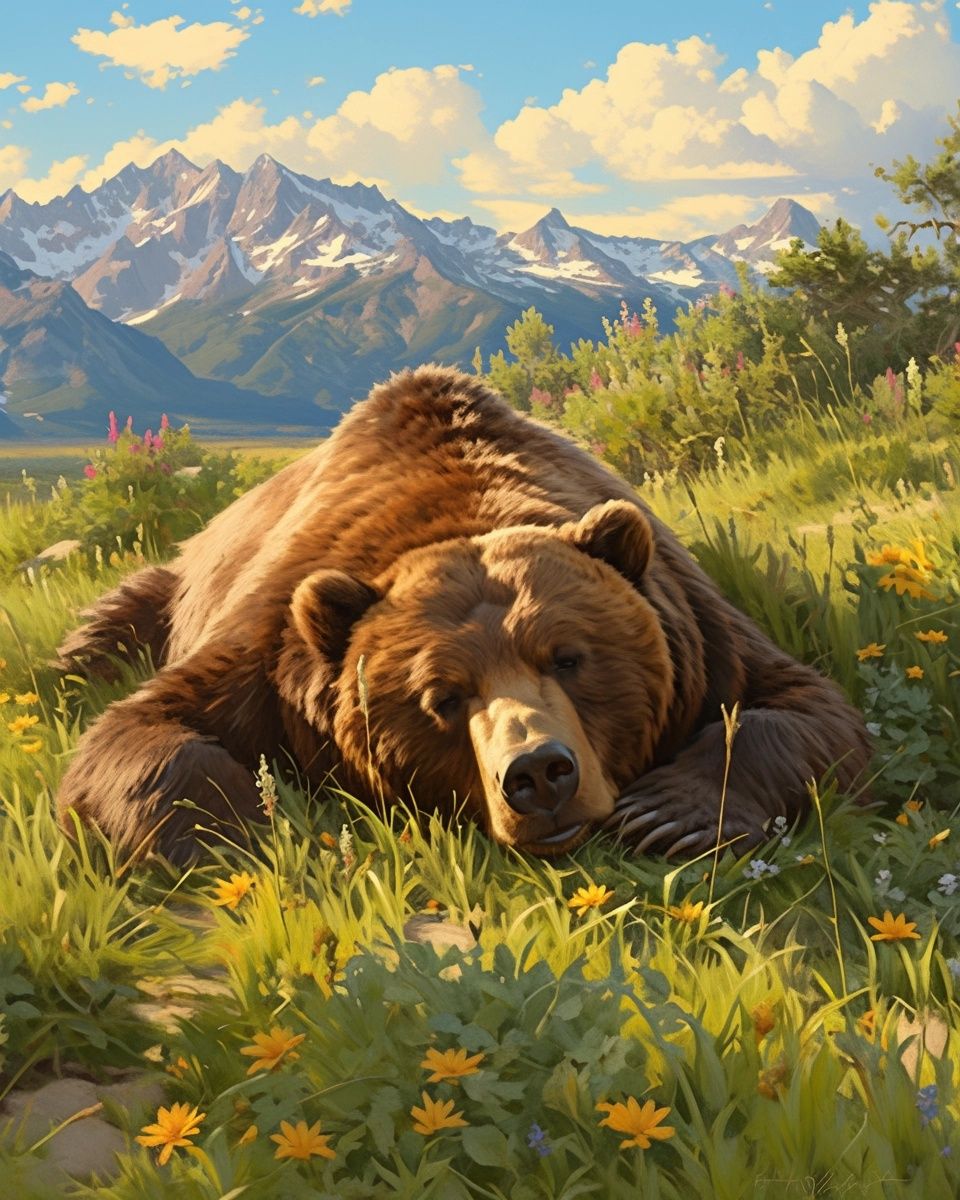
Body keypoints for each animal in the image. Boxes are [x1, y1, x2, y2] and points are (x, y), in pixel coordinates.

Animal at [56, 365, 870, 863]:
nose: (539, 773)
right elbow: (141, 731)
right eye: (442, 697)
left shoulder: (698, 625)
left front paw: (669, 811)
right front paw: (251, 829)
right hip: (169, 588)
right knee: (107, 626)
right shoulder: (269, 650)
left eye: (569, 657)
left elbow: (803, 706)